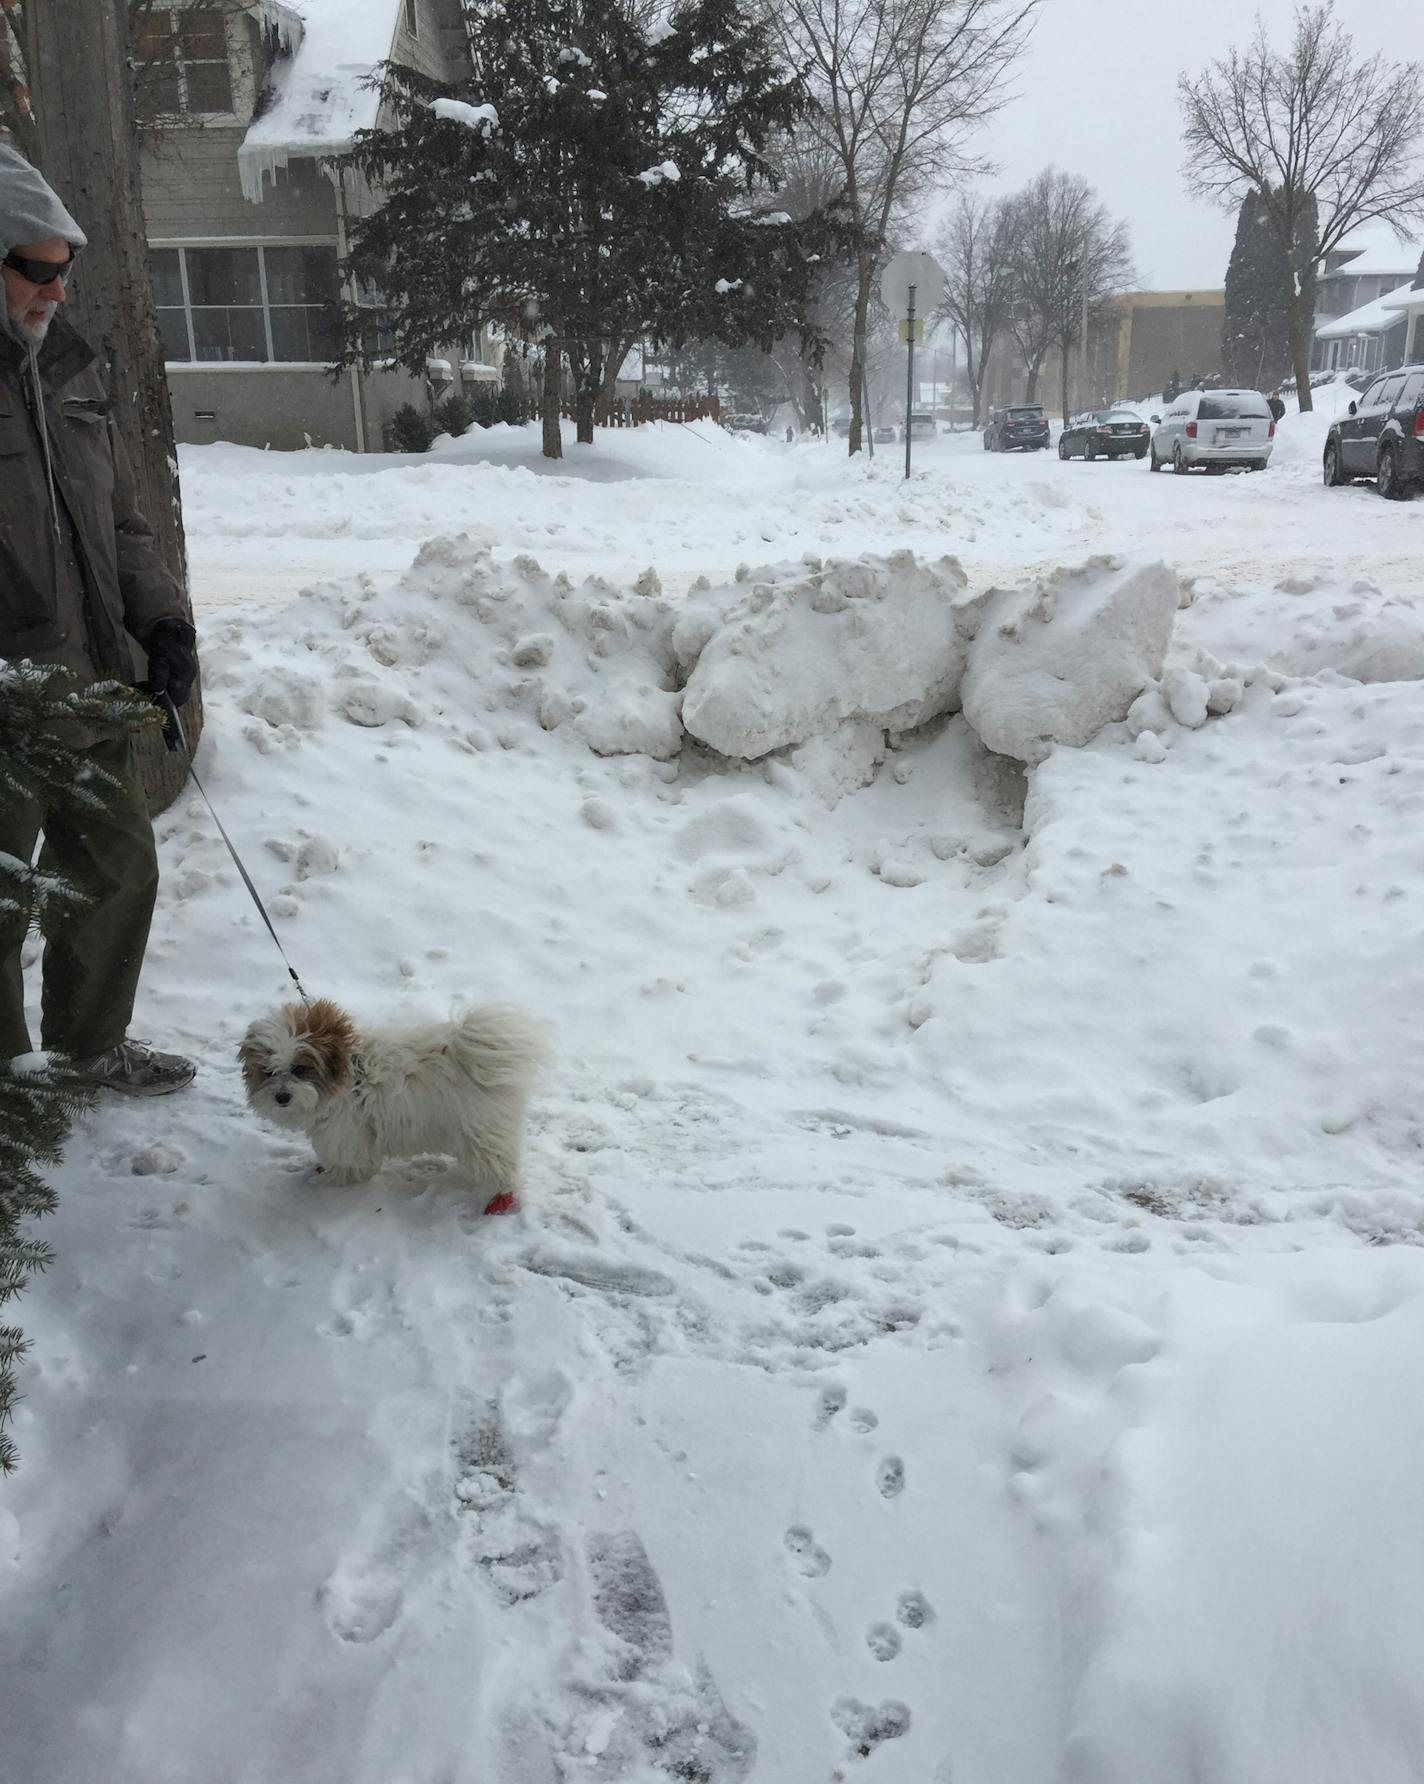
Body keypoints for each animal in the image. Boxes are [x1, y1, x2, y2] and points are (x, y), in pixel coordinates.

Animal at [237, 999, 549, 1220]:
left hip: (482, 1135)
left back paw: (500, 1200)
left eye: (300, 1069)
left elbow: (352, 1165)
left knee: (502, 1169)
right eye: (268, 1072)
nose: (282, 1097)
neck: (348, 1077)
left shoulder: (349, 1134)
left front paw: (331, 1182)